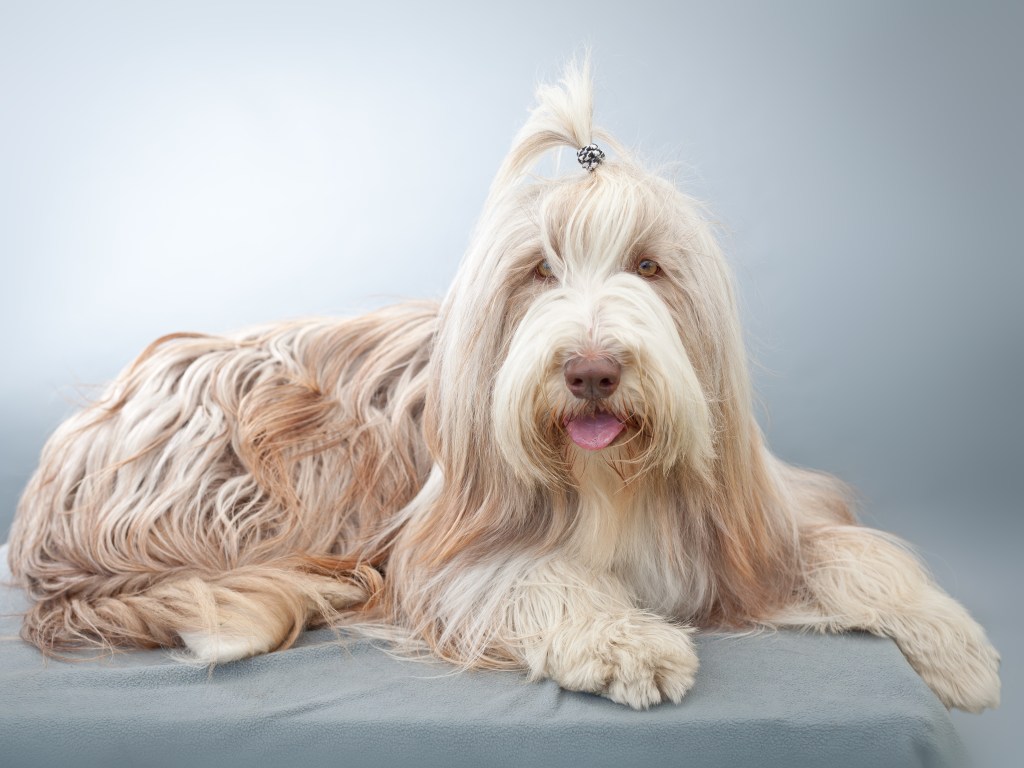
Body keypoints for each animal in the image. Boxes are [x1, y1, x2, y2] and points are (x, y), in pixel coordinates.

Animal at [8, 61, 999, 716]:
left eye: (649, 265)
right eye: (539, 271)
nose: (591, 369)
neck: (612, 483)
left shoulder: (753, 514)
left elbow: (852, 550)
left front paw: (953, 645)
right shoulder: (444, 545)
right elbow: (529, 572)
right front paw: (627, 643)